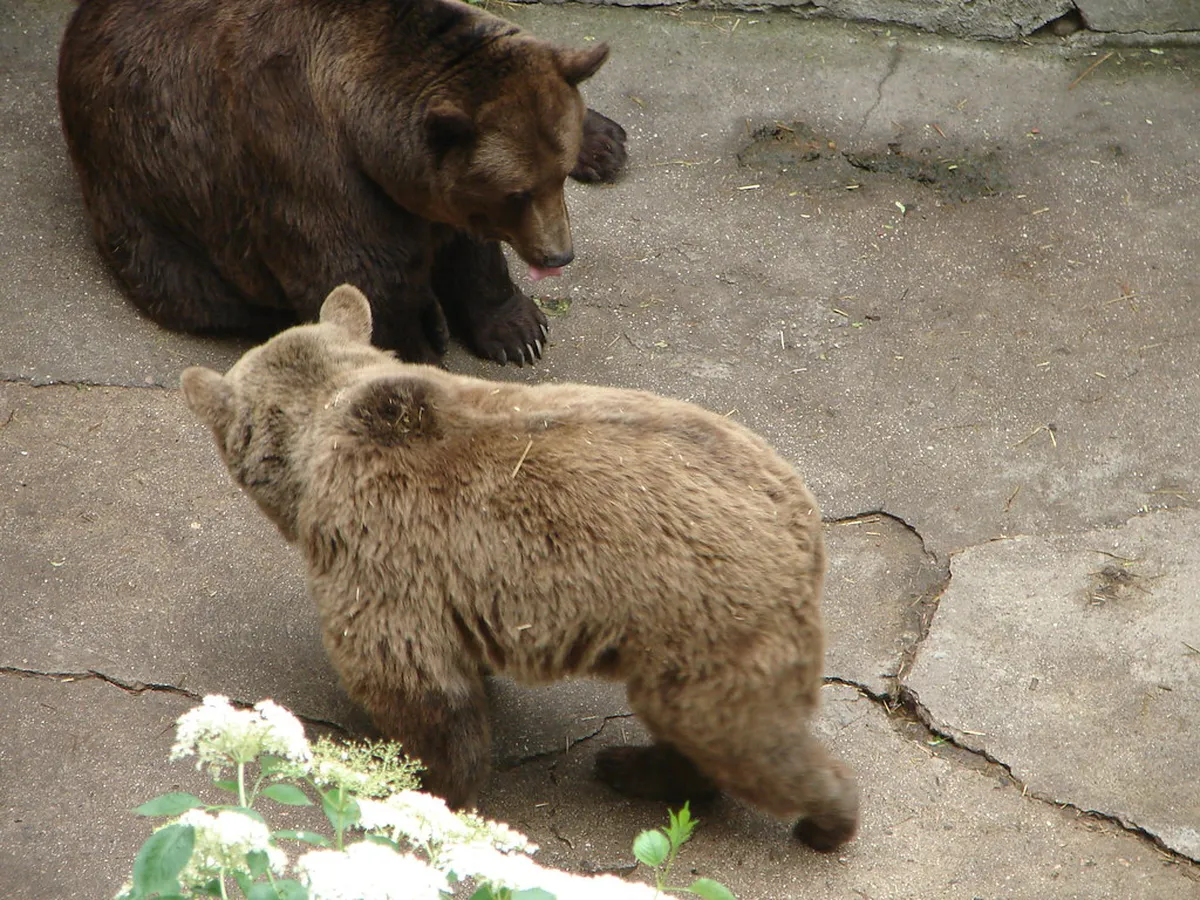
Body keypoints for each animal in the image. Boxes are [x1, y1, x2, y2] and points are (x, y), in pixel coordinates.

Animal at [58, 0, 627, 366]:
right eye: (517, 193)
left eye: (555, 177)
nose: (557, 255)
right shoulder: (307, 167)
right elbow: (359, 276)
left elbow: (470, 248)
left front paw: (519, 330)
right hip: (153, 226)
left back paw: (606, 140)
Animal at [181, 284, 860, 851]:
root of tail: (805, 522)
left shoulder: (386, 554)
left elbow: (413, 681)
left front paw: (427, 786)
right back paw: (634, 768)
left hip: (705, 615)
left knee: (739, 733)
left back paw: (825, 820)